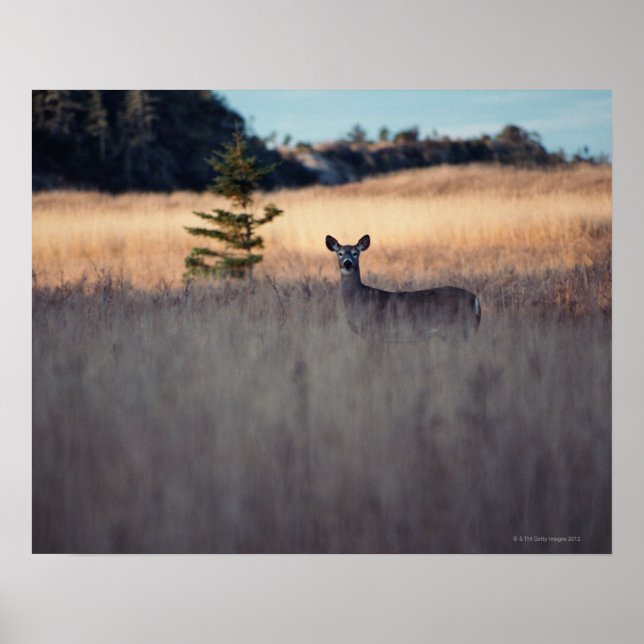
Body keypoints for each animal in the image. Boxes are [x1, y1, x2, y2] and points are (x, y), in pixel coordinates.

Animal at [325, 234, 481, 341]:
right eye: (339, 253)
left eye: (355, 253)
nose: (347, 263)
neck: (359, 297)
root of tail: (475, 299)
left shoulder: (375, 330)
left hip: (458, 327)